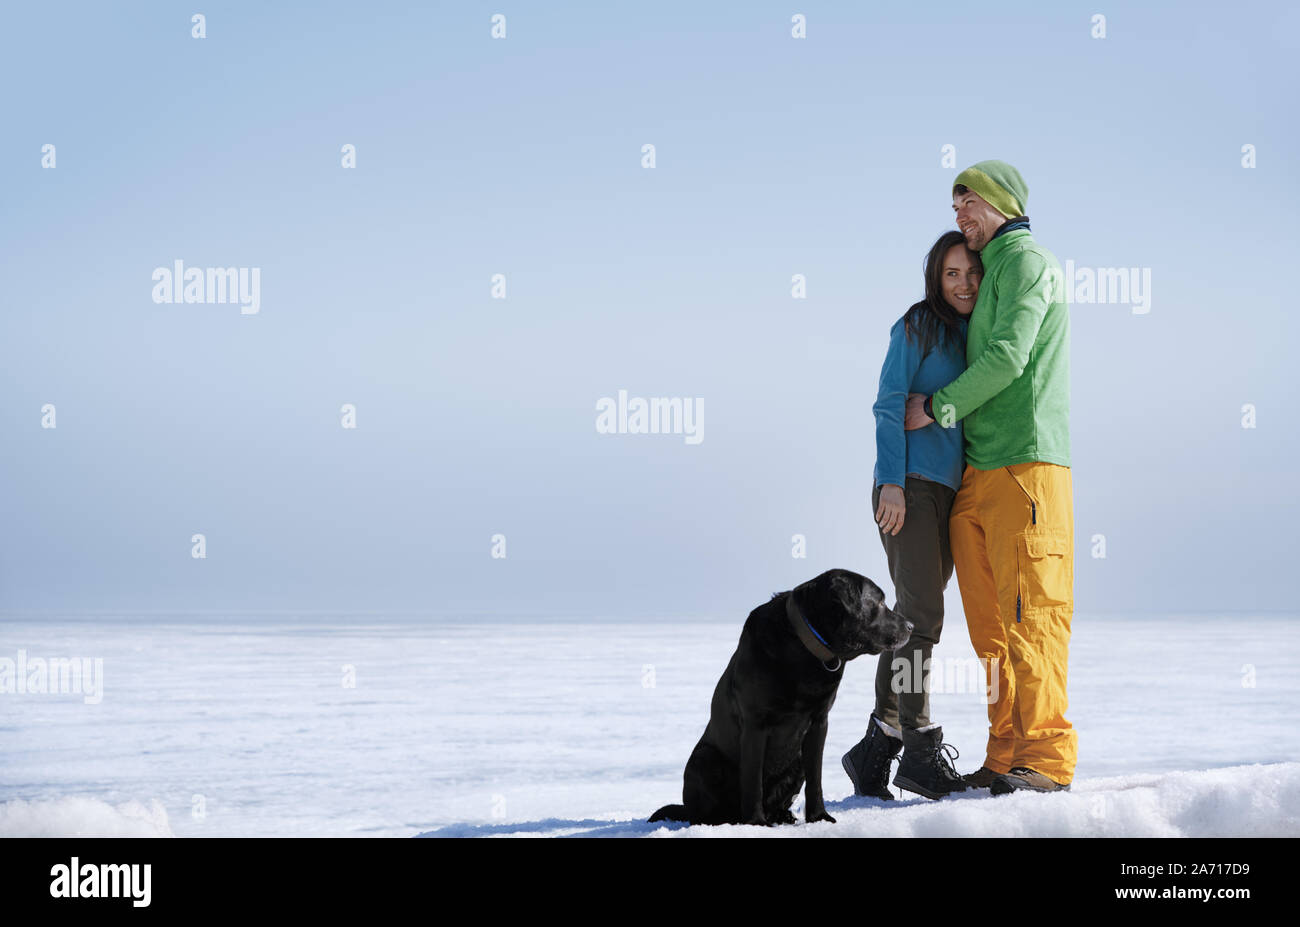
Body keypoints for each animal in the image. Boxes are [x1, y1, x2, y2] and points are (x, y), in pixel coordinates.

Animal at [650, 566, 915, 826]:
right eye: (879, 602)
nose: (911, 626)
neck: (805, 646)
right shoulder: (755, 724)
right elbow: (753, 780)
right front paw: (756, 822)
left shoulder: (819, 722)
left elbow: (816, 779)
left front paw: (819, 817)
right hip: (704, 759)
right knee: (704, 811)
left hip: (795, 762)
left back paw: (781, 816)